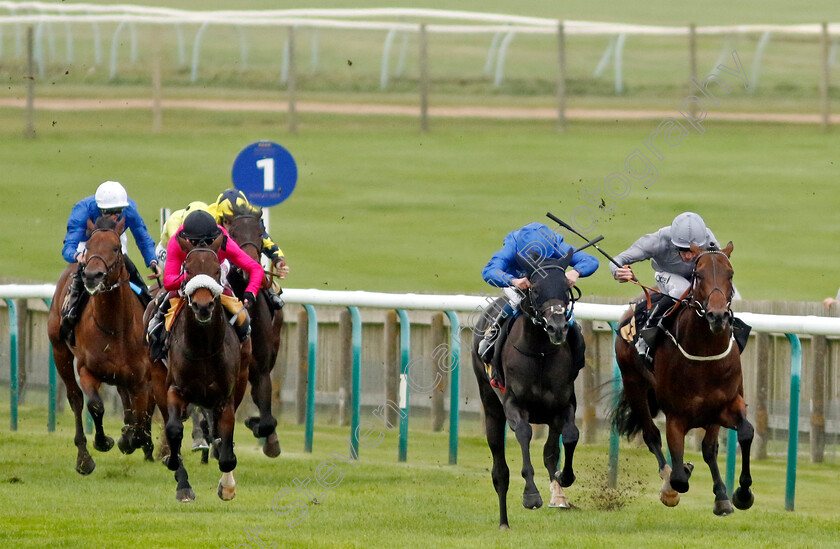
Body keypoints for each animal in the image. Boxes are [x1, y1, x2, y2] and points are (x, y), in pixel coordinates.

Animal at [472, 255, 584, 528]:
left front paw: (564, 477)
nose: (557, 328)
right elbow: (523, 433)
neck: (540, 351)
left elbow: (570, 436)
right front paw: (531, 495)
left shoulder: (564, 404)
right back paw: (504, 522)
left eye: (565, 287)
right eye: (534, 289)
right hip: (491, 405)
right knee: (500, 471)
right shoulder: (514, 404)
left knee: (550, 451)